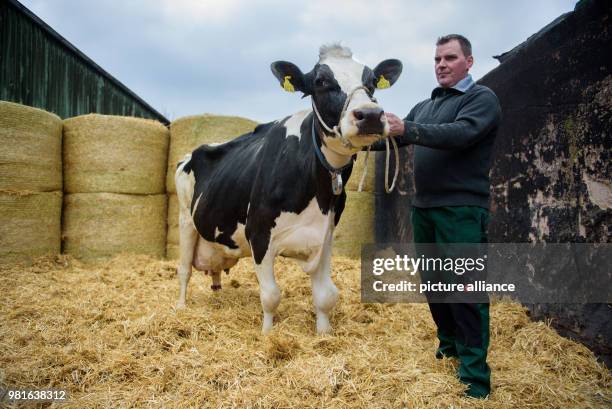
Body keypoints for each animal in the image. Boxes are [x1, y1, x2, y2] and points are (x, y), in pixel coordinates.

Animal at [175, 43, 402, 332]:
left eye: (372, 81)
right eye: (321, 81)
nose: (370, 115)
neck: (317, 190)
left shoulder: (325, 235)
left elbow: (326, 295)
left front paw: (324, 333)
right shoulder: (258, 234)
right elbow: (271, 295)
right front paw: (267, 333)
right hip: (186, 219)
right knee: (184, 270)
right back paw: (181, 307)